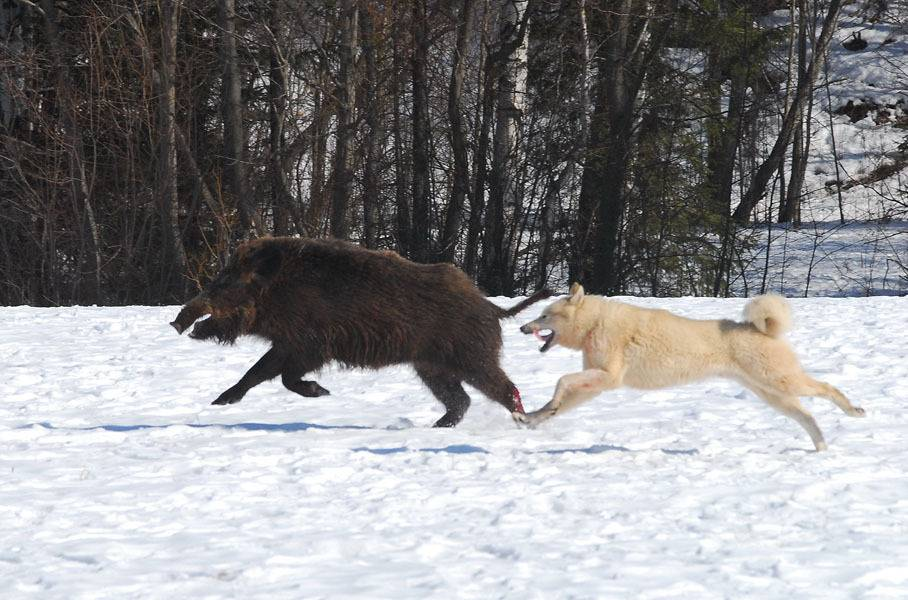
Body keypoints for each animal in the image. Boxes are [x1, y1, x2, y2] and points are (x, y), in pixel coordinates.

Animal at [516, 284, 864, 450]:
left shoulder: (608, 378)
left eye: (545, 315)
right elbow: (554, 403)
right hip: (772, 394)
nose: (522, 328)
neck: (594, 324)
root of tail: (764, 330)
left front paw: (541, 411)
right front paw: (531, 417)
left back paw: (853, 411)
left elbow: (561, 382)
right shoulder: (596, 384)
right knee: (808, 417)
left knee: (828, 389)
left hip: (781, 382)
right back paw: (821, 448)